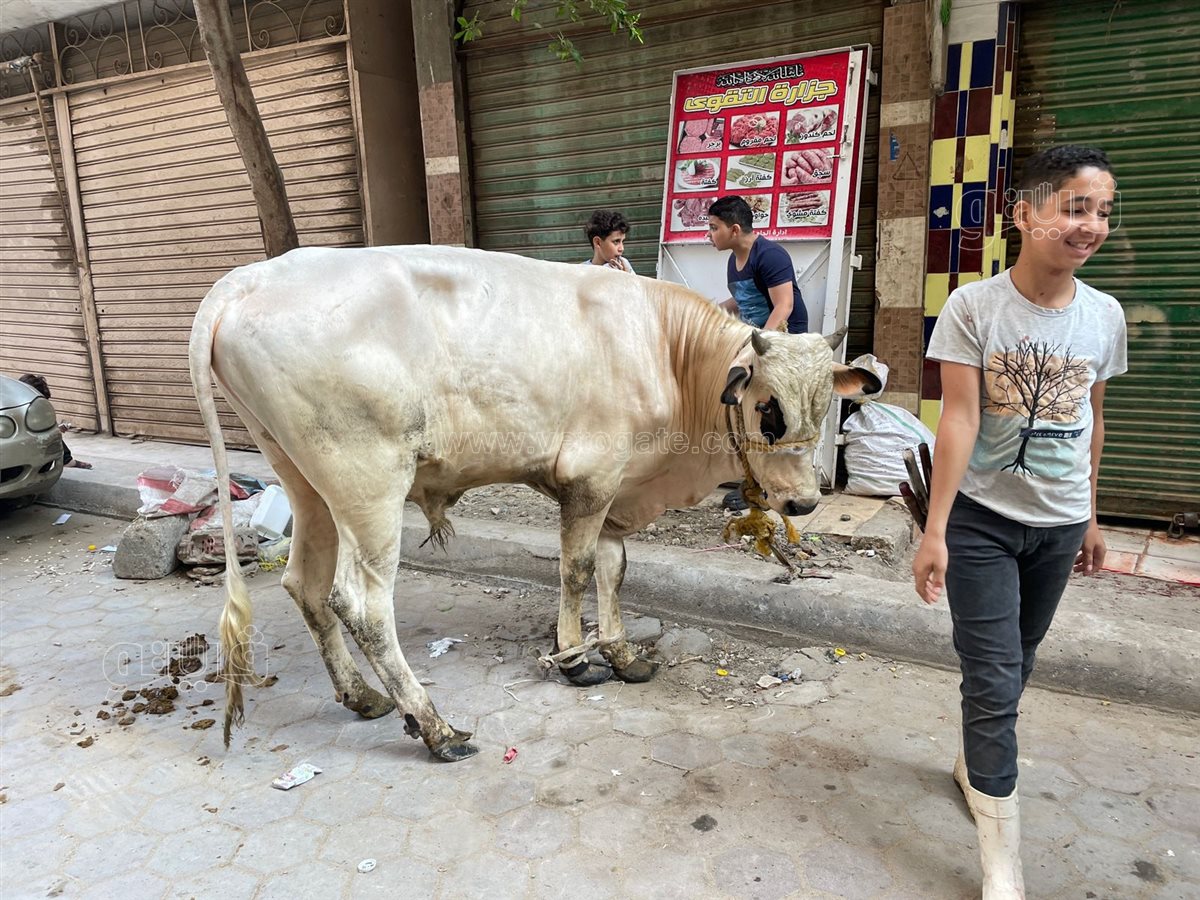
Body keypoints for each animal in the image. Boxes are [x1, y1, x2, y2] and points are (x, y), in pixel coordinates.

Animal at [189, 245, 881, 761]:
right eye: (768, 409)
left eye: (825, 407)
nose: (803, 502)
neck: (666, 352)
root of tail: (250, 279)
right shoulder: (591, 479)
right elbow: (576, 570)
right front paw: (576, 659)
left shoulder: (619, 489)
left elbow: (613, 570)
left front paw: (622, 653)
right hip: (369, 487)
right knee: (360, 603)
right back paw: (434, 725)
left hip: (306, 483)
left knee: (305, 584)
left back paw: (364, 697)